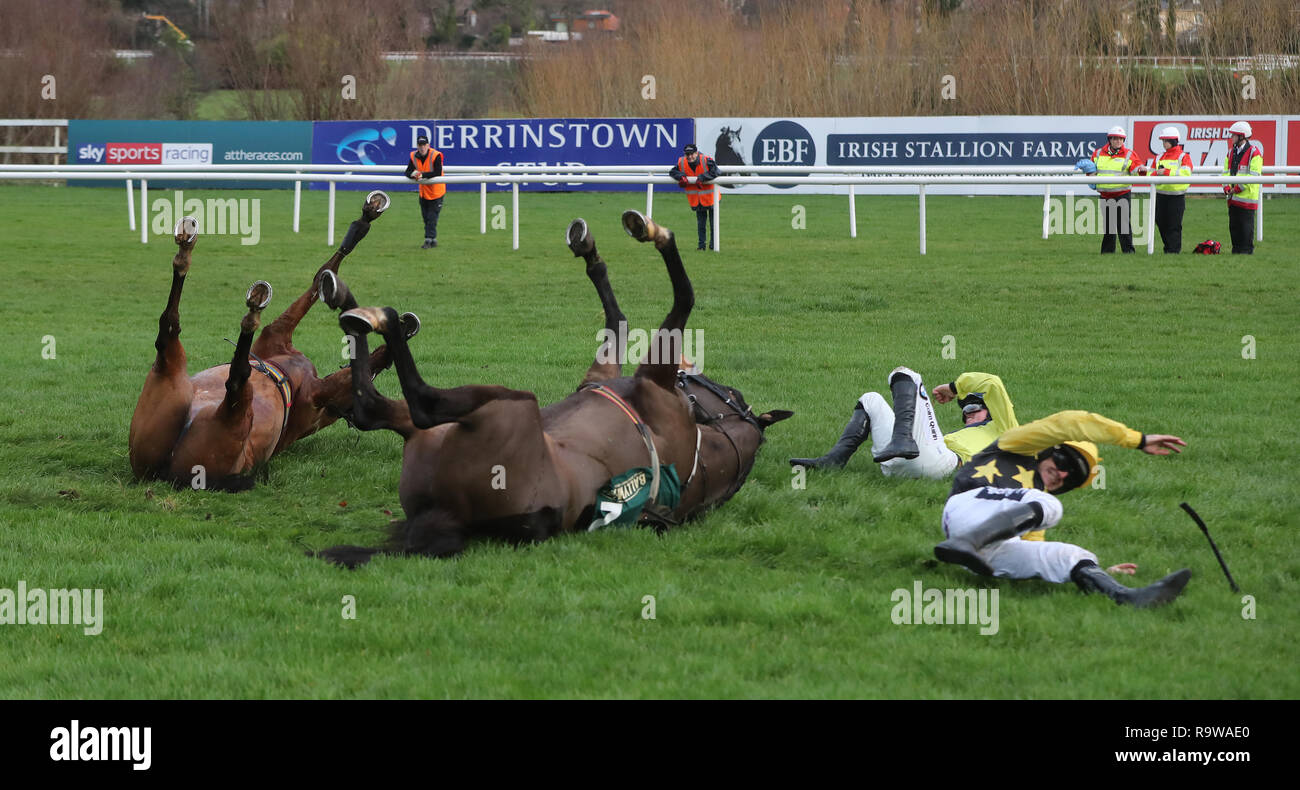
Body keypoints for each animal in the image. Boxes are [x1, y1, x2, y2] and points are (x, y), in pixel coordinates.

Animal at [132, 192, 397, 488]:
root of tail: (164, 475)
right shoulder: (285, 345)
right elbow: (319, 278)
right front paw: (365, 220)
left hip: (181, 389)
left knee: (178, 340)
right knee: (228, 372)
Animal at [318, 210, 785, 566]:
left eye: (728, 392)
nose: (698, 376)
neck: (701, 448)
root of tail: (448, 519)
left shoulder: (654, 379)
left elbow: (681, 298)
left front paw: (654, 231)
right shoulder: (606, 377)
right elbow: (619, 318)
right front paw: (591, 249)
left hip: (507, 407)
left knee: (413, 403)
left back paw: (374, 316)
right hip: (439, 433)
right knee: (374, 408)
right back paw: (347, 300)